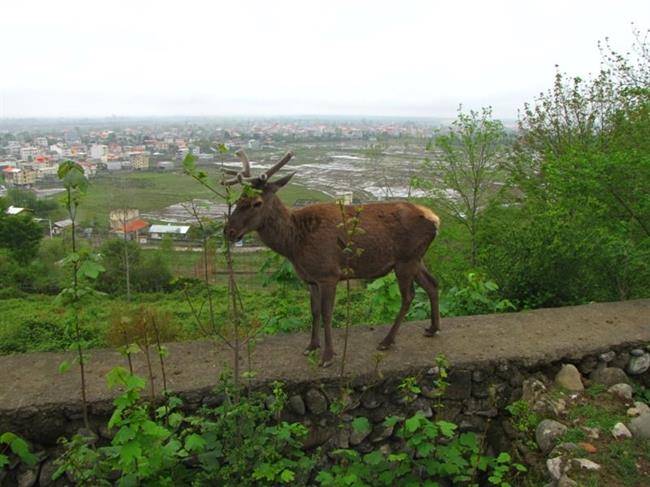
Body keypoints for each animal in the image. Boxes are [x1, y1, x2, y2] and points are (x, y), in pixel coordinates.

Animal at [223, 151, 440, 368]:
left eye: (257, 202)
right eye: (238, 199)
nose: (228, 231)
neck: (294, 245)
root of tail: (436, 219)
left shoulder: (329, 274)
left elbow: (327, 313)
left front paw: (327, 356)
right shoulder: (311, 279)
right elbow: (314, 311)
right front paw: (311, 346)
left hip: (406, 260)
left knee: (409, 296)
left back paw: (387, 341)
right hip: (417, 258)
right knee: (432, 284)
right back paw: (433, 328)